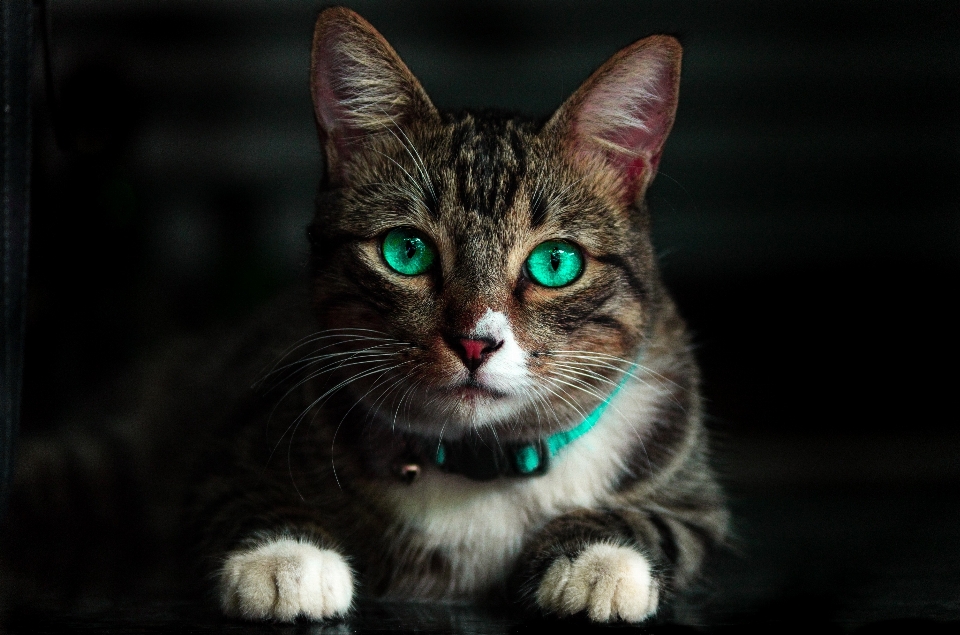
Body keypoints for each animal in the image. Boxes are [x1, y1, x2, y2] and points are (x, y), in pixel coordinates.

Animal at [7, 4, 728, 628]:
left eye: (556, 263)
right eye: (406, 251)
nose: (475, 342)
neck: (478, 464)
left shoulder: (694, 493)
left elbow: (661, 522)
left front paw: (599, 560)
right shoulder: (232, 445)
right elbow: (237, 493)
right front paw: (287, 558)